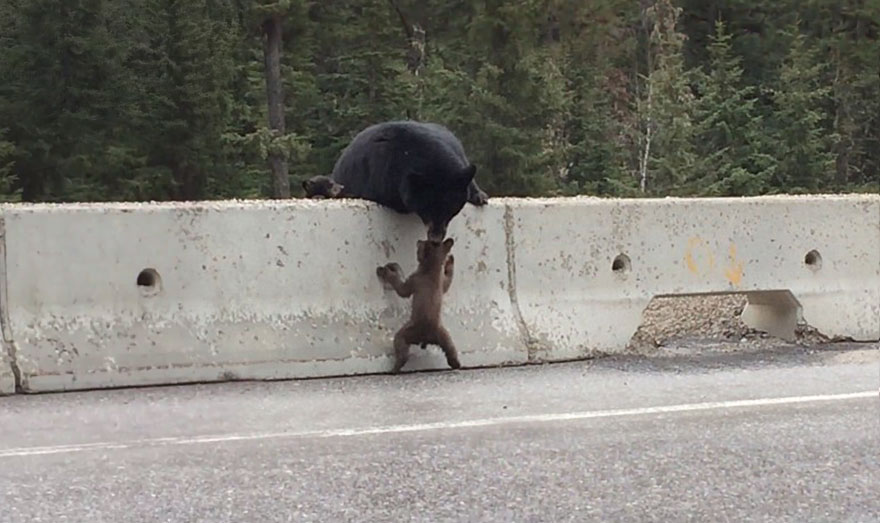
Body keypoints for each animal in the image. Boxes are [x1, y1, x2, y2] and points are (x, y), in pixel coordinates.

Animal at [376, 237, 460, 373]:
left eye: (421, 245)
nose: (419, 240)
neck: (432, 268)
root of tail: (427, 336)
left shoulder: (414, 280)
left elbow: (401, 289)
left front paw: (389, 272)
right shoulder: (442, 282)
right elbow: (448, 280)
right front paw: (450, 261)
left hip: (408, 333)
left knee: (401, 348)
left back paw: (395, 368)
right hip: (444, 336)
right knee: (451, 349)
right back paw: (456, 364)